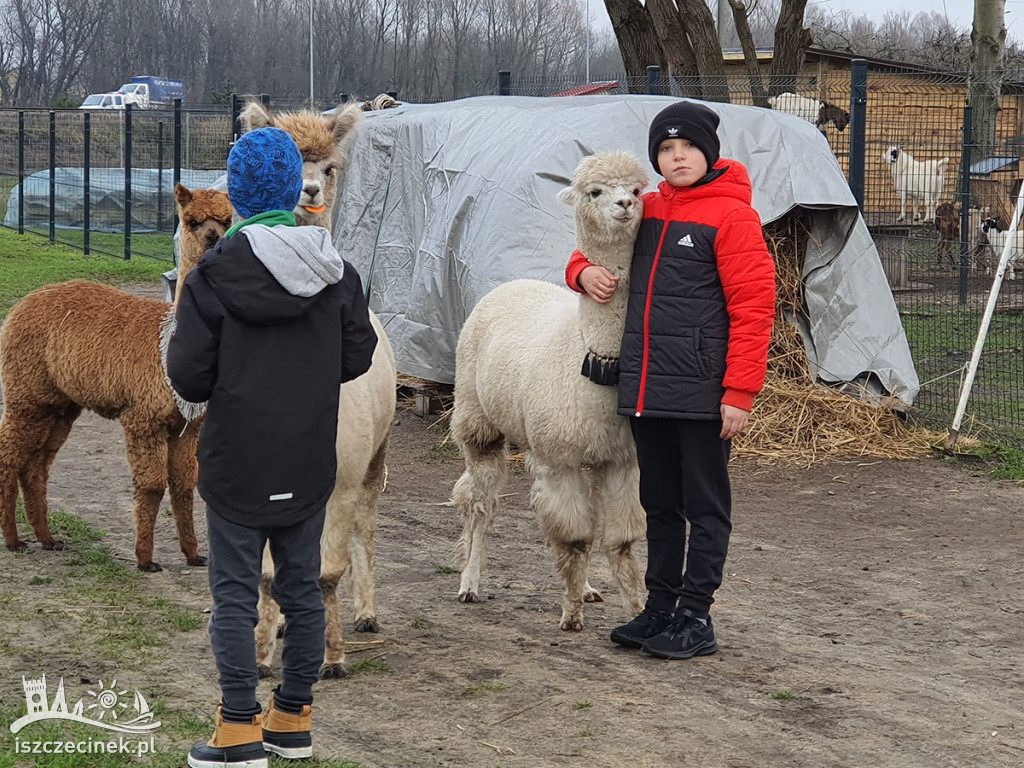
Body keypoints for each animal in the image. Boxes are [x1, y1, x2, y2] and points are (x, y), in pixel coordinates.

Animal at [450, 150, 647, 630]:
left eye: (637, 189)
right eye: (594, 191)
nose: (624, 205)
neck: (593, 363)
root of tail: (511, 284)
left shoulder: (622, 460)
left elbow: (621, 540)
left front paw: (635, 610)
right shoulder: (558, 458)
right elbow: (574, 539)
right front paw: (571, 614)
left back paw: (591, 587)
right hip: (477, 420)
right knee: (480, 503)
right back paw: (469, 584)